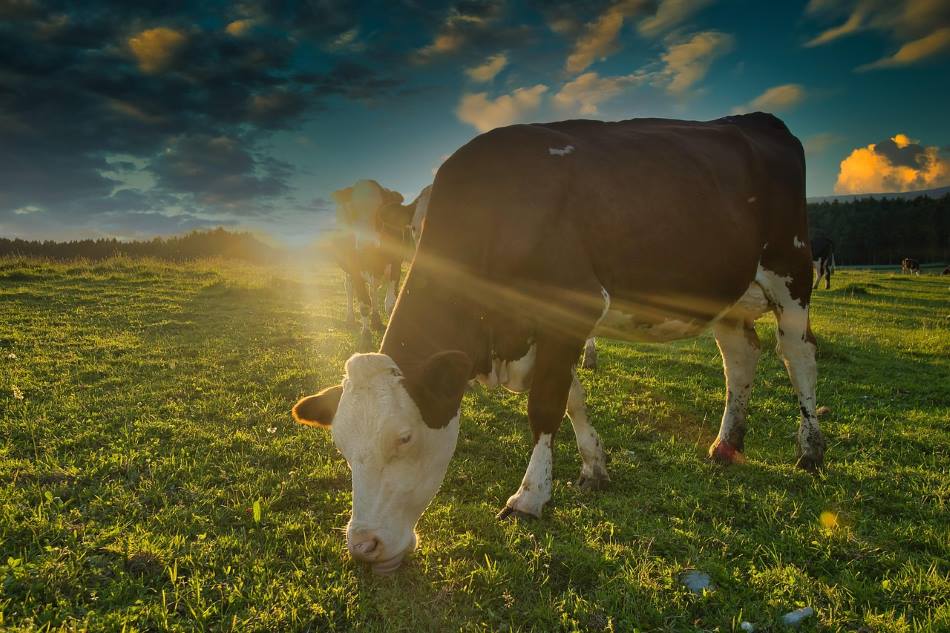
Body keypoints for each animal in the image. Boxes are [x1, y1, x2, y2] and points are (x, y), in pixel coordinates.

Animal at [331, 180, 417, 350]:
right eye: (352, 210)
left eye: (380, 210)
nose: (367, 244)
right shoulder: (354, 267)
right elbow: (364, 304)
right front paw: (365, 337)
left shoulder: (396, 263)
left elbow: (390, 304)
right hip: (347, 270)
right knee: (349, 288)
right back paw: (350, 318)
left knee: (374, 288)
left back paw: (376, 319)